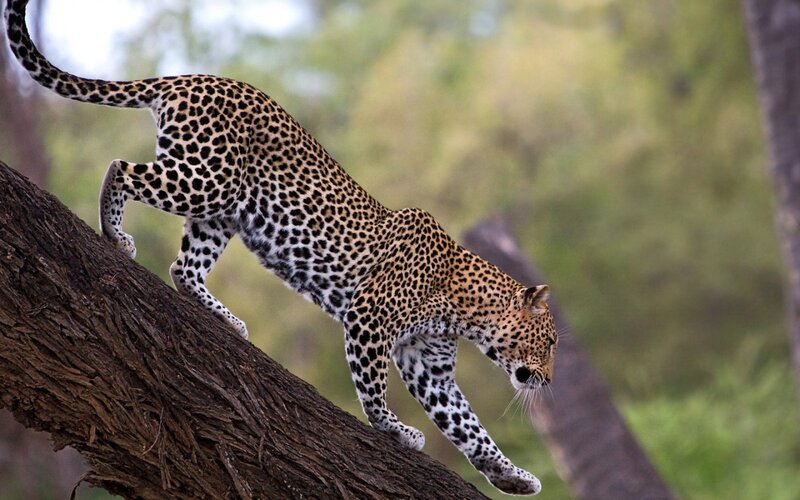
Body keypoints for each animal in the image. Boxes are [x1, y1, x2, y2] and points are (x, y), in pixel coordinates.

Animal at [5, 0, 558, 495]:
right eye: (551, 343)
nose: (549, 382)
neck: (465, 309)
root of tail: (192, 78)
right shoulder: (369, 319)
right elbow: (374, 389)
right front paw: (395, 430)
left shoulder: (430, 367)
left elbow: (469, 426)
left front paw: (511, 475)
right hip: (205, 180)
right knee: (120, 168)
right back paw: (114, 234)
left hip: (223, 212)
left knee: (184, 267)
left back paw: (225, 319)